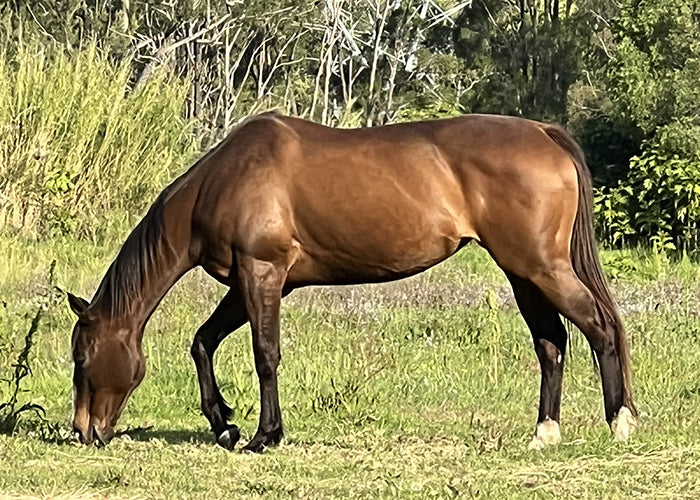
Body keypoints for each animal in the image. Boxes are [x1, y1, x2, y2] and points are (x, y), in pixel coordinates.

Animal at [68, 111, 636, 452]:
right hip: (523, 274)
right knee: (552, 343)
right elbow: (203, 341)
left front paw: (264, 435)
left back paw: (620, 421)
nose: (84, 432)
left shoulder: (262, 273)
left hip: (542, 267)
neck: (222, 181)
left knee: (602, 327)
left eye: (81, 357)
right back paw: (545, 432)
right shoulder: (251, 282)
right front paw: (224, 424)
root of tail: (543, 132)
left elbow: (264, 354)